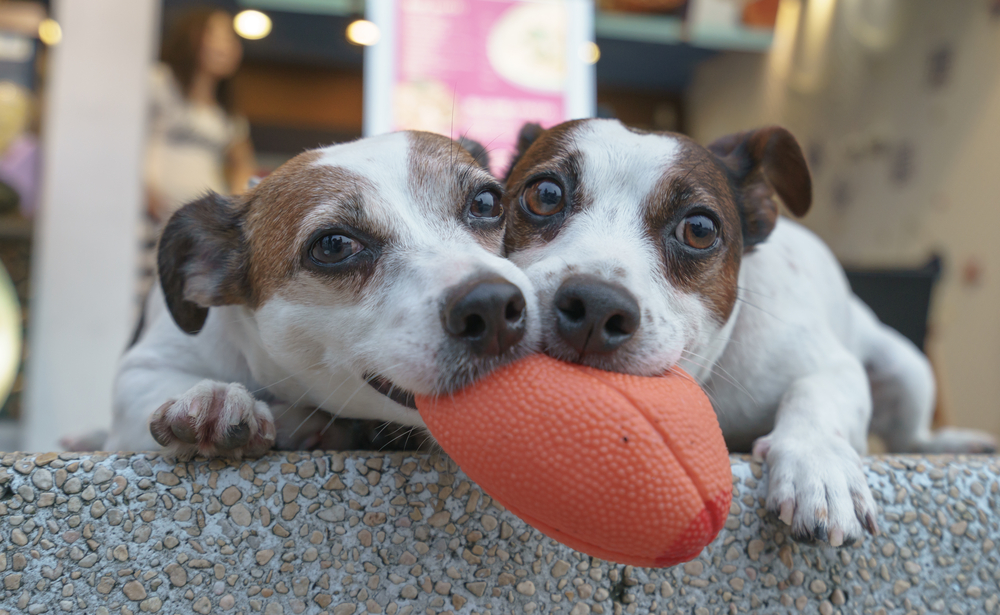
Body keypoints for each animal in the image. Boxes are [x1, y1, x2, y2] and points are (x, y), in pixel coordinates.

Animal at [500, 118, 992, 548]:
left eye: (699, 229)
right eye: (546, 194)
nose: (596, 306)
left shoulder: (831, 364)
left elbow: (814, 392)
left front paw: (819, 464)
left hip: (906, 369)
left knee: (912, 439)